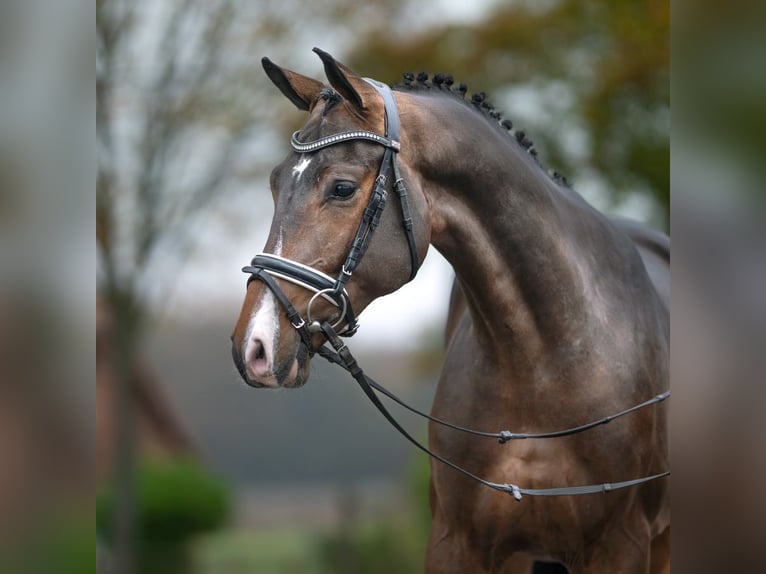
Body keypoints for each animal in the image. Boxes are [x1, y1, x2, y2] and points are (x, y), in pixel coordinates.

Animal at [231, 50, 668, 574]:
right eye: (275, 183)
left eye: (341, 188)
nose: (254, 347)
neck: (542, 362)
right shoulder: (455, 544)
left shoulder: (621, 545)